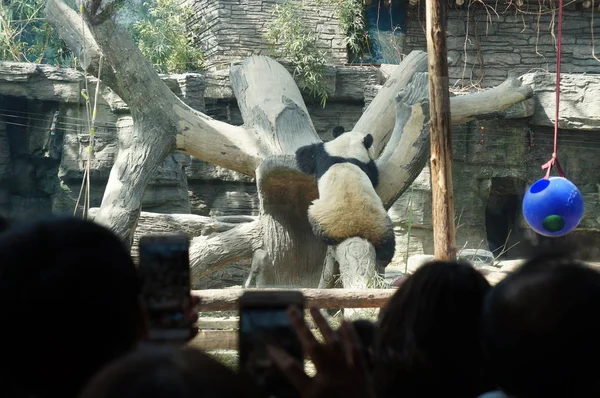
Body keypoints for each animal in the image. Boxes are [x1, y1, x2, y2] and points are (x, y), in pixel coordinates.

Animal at [294, 130, 396, 264]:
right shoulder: (325, 153)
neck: (345, 155)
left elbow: (304, 155)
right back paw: (384, 256)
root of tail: (353, 226)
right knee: (388, 241)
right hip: (378, 222)